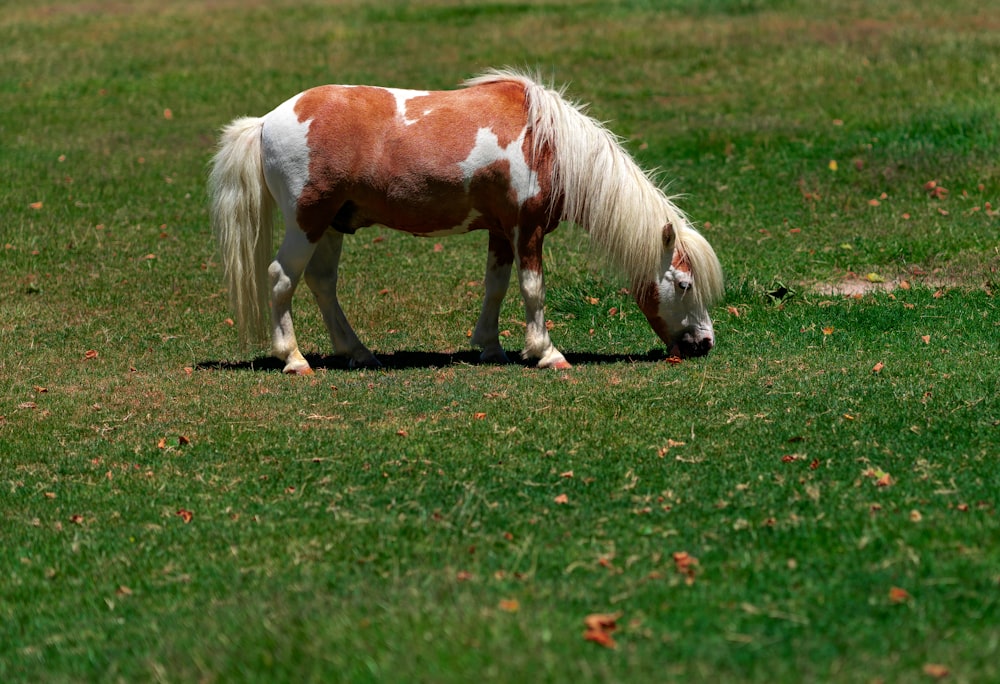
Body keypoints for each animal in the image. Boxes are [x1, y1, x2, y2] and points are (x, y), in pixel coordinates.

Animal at [211, 69, 724, 374]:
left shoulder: (501, 231)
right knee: (282, 278)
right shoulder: (527, 229)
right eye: (683, 284)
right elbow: (533, 289)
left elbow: (495, 287)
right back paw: (294, 359)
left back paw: (357, 352)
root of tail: (267, 121)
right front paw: (547, 353)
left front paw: (491, 347)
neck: (547, 143)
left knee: (321, 283)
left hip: (333, 225)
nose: (705, 343)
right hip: (307, 222)